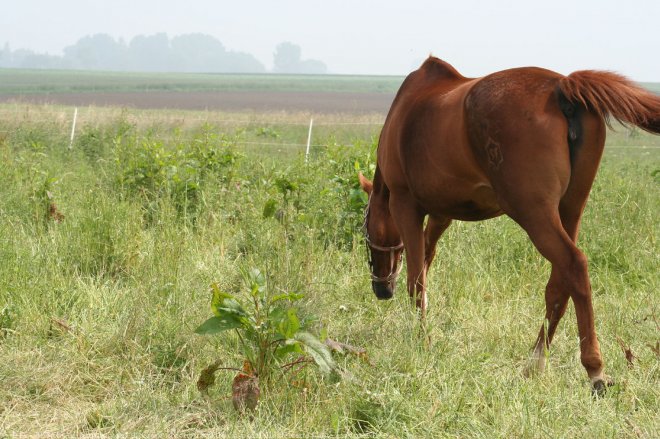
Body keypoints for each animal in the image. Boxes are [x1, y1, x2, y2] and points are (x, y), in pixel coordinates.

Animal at [360, 56, 660, 394]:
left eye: (366, 231)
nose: (381, 289)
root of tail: (562, 86)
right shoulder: (441, 214)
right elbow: (425, 263)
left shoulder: (405, 205)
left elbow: (416, 280)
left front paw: (421, 341)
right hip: (570, 210)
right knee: (559, 283)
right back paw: (535, 362)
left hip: (533, 213)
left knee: (574, 265)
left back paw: (594, 369)